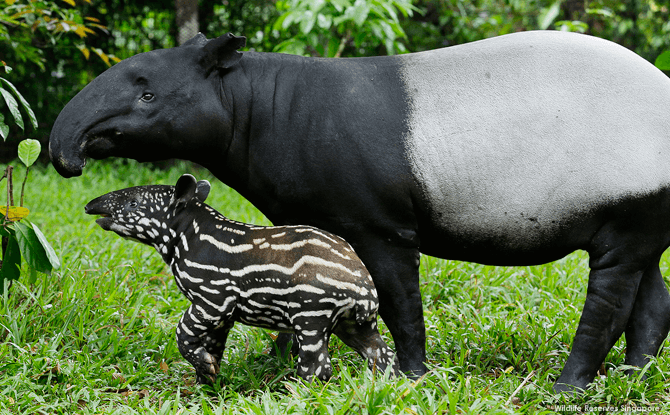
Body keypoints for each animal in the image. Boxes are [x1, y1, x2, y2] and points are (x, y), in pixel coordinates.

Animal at [84, 174, 400, 386]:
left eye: (133, 202)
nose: (90, 206)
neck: (187, 235)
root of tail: (364, 287)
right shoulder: (222, 315)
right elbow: (213, 345)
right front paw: (206, 379)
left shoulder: (212, 299)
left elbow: (182, 332)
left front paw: (203, 368)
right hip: (354, 324)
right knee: (380, 355)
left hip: (312, 313)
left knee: (317, 367)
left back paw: (297, 392)